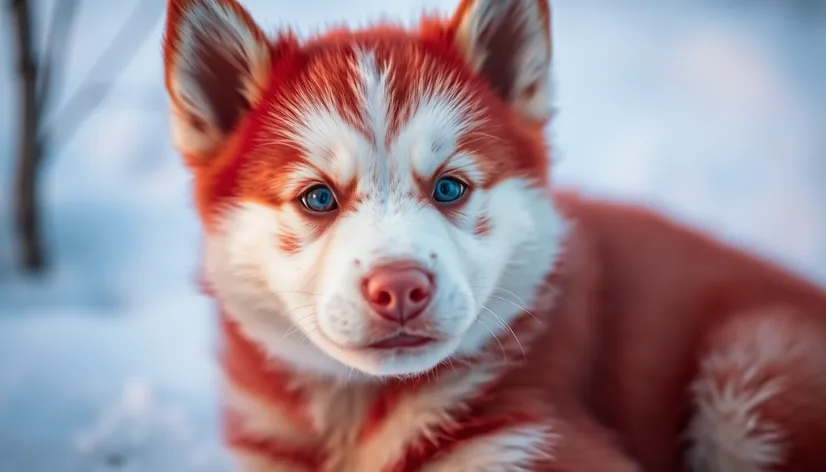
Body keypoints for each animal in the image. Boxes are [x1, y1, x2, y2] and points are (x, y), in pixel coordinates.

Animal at [159, 0, 824, 472]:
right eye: (318, 197)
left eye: (449, 187)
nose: (401, 288)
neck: (360, 417)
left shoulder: (540, 442)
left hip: (752, 364)